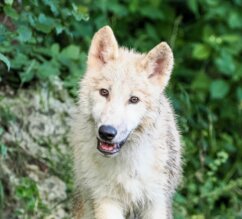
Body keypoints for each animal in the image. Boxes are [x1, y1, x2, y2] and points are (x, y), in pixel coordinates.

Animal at [71, 26, 182, 219]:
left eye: (134, 99)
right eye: (104, 92)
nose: (107, 132)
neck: (127, 166)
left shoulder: (155, 202)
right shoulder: (106, 199)